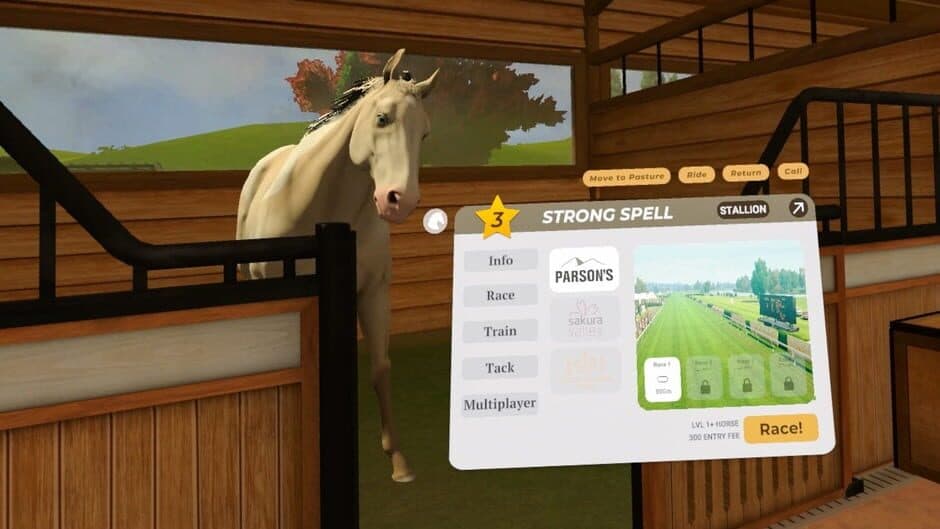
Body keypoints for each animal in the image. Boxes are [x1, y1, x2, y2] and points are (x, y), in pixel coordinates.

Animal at [236, 49, 437, 482]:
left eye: (425, 133)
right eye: (382, 118)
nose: (400, 200)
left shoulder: (374, 292)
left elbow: (380, 366)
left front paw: (398, 462)